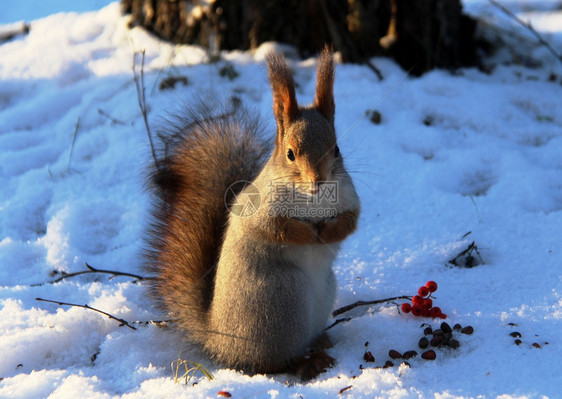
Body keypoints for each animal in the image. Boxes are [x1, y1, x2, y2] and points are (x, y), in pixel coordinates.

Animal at [144, 47, 358, 382]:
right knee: (267, 364)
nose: (318, 180)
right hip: (282, 299)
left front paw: (329, 232)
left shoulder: (350, 198)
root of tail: (218, 340)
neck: (312, 198)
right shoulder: (258, 210)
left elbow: (351, 220)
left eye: (336, 149)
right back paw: (304, 361)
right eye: (290, 154)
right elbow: (274, 228)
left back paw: (320, 340)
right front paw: (309, 233)